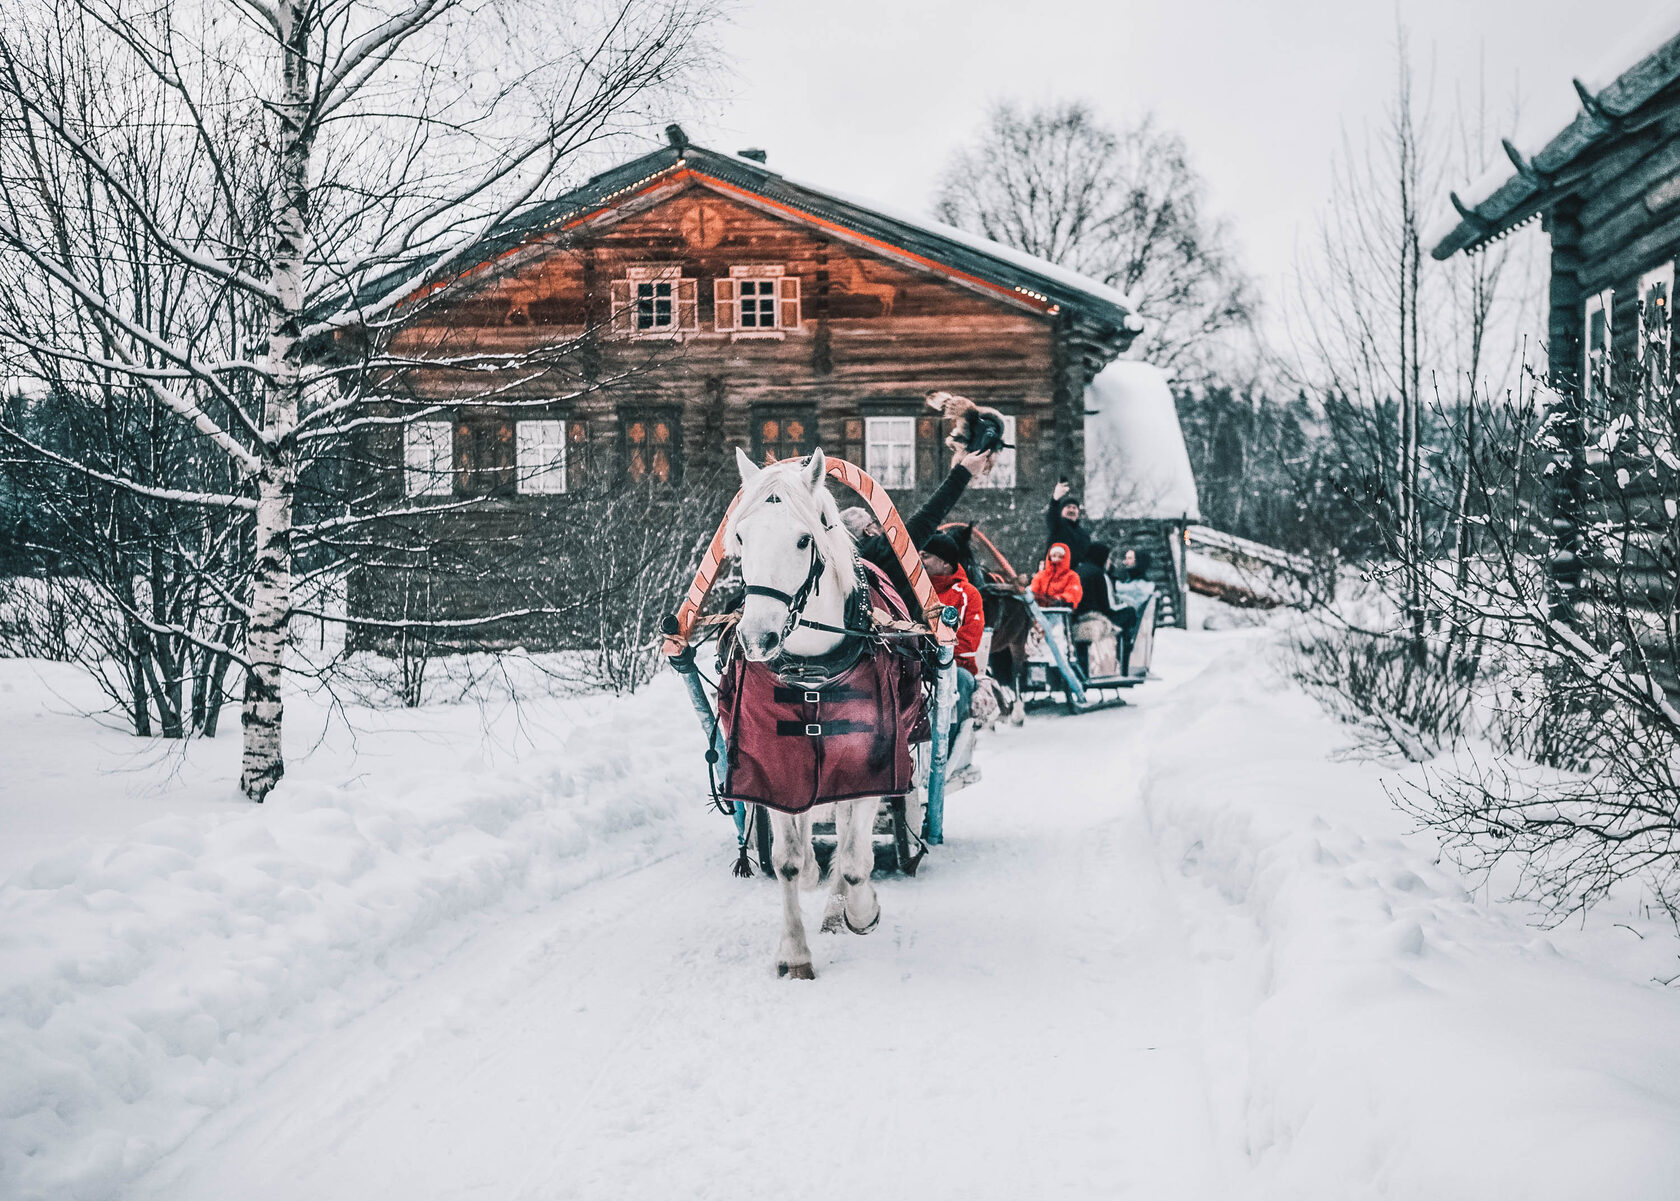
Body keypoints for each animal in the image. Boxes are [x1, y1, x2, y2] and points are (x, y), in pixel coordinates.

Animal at [732, 446, 893, 980]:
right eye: (740, 537)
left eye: (804, 539)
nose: (757, 638)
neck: (811, 671)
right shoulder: (774, 763)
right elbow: (787, 860)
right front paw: (794, 954)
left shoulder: (874, 759)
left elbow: (855, 859)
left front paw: (861, 911)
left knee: (846, 835)